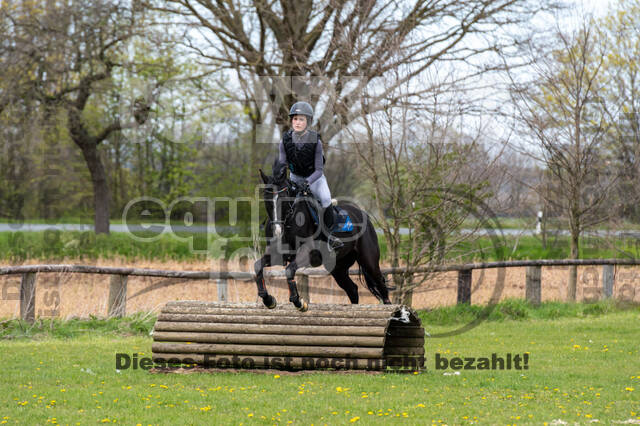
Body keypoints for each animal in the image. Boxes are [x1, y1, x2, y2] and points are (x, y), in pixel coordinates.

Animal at [252, 159, 392, 310]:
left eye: (284, 200)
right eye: (266, 199)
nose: (277, 231)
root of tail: (363, 214)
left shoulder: (308, 253)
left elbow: (289, 270)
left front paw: (299, 302)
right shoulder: (278, 254)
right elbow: (258, 266)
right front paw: (268, 299)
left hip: (369, 261)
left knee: (381, 287)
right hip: (338, 267)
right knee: (353, 289)